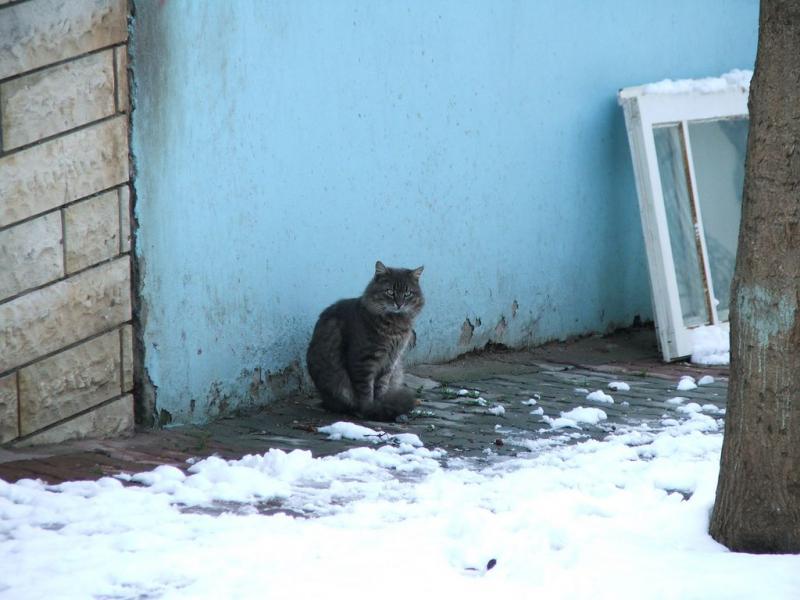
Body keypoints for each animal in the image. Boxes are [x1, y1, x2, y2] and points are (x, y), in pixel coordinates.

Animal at [306, 260, 424, 420]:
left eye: (407, 293)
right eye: (390, 292)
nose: (399, 304)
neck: (395, 327)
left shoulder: (390, 361)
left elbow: (381, 388)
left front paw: (380, 405)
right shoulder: (363, 360)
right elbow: (365, 390)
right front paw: (370, 409)